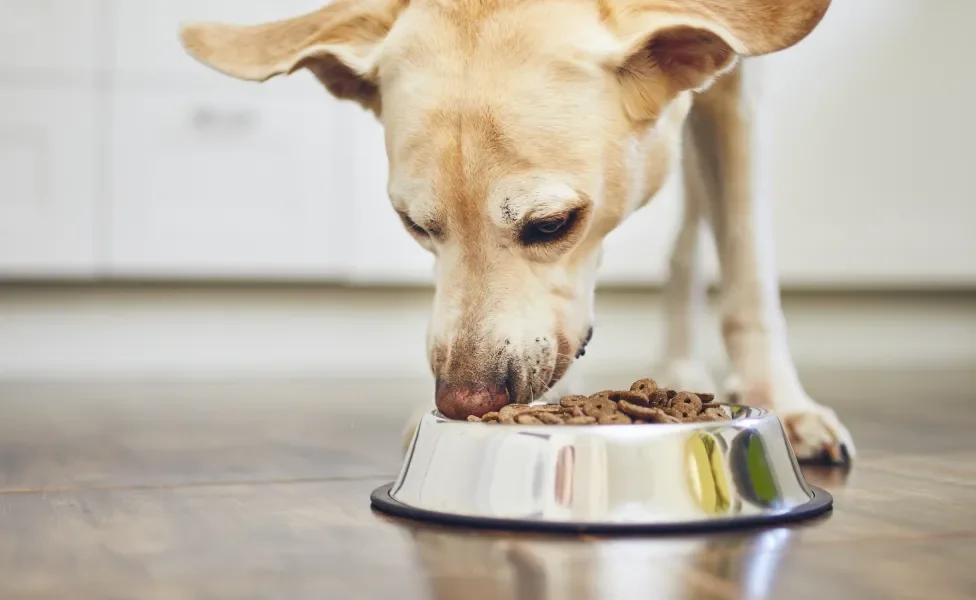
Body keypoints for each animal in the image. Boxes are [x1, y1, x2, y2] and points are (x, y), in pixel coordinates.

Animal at [179, 0, 852, 464]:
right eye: (415, 225)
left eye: (553, 223)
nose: (460, 403)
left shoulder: (741, 92)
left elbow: (747, 269)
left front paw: (784, 404)